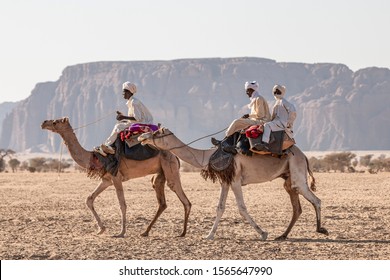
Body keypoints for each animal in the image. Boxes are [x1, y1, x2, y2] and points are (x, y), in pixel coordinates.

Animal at [40, 117, 191, 237]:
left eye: (55, 122)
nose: (43, 123)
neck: (96, 158)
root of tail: (175, 156)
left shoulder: (116, 177)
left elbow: (122, 204)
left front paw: (121, 232)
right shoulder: (107, 180)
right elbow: (89, 199)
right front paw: (101, 229)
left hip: (170, 168)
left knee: (184, 199)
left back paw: (182, 233)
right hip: (160, 173)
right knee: (162, 200)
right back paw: (145, 232)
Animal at [139, 129, 328, 241]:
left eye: (157, 133)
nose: (142, 137)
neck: (207, 156)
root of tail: (304, 156)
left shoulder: (235, 179)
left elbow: (241, 207)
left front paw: (263, 233)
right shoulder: (225, 180)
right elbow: (220, 207)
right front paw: (209, 235)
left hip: (297, 173)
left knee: (316, 200)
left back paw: (320, 229)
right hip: (288, 178)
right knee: (297, 206)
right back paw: (283, 235)